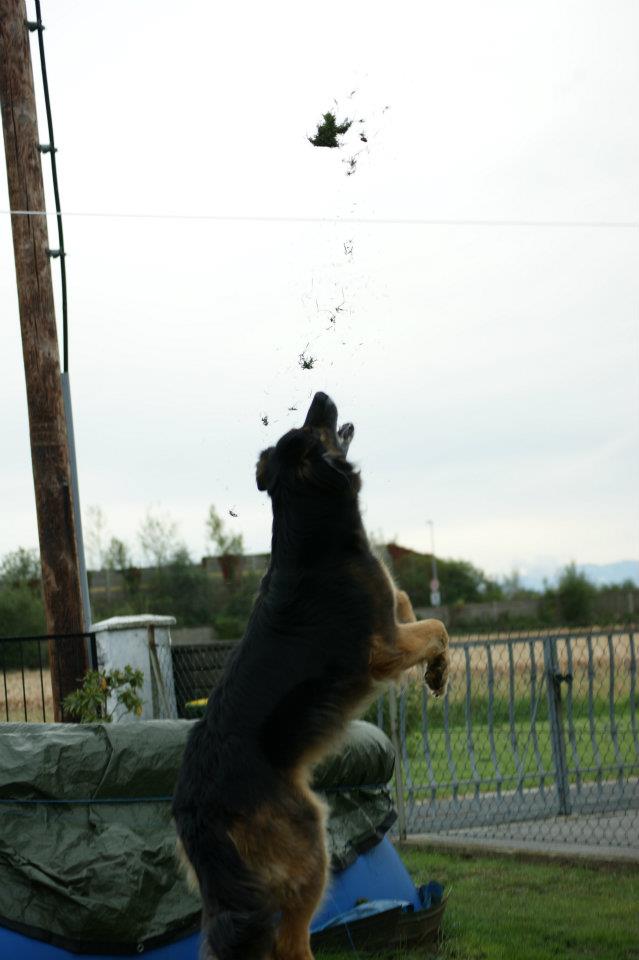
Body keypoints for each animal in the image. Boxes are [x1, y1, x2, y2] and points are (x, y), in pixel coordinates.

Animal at [171, 392, 450, 960]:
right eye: (312, 423)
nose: (320, 395)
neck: (309, 522)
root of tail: (197, 809)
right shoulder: (383, 647)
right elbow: (436, 624)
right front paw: (437, 667)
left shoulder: (389, 617)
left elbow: (408, 601)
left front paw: (436, 670)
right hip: (309, 846)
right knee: (289, 943)